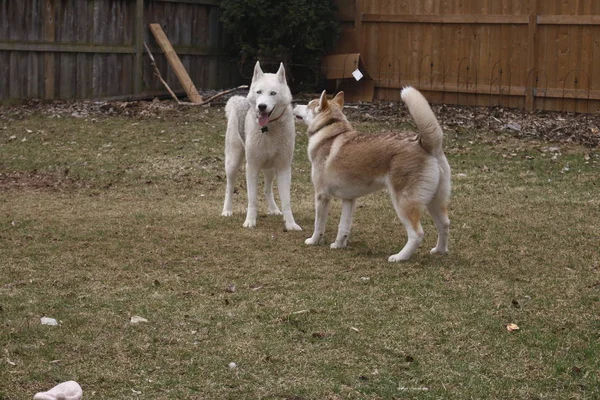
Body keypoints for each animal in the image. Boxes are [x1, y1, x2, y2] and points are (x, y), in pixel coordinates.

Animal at [223, 62, 302, 231]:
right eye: (259, 92)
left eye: (273, 93)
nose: (262, 106)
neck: (269, 128)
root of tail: (239, 100)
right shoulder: (252, 167)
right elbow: (252, 200)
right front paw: (250, 221)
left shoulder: (284, 168)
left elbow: (286, 202)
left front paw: (290, 224)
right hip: (233, 162)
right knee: (229, 187)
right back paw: (227, 210)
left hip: (270, 168)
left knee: (267, 189)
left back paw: (273, 209)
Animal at [292, 87, 452, 260]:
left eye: (308, 105)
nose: (294, 104)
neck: (329, 130)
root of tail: (425, 144)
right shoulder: (349, 199)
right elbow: (343, 227)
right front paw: (338, 245)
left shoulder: (322, 196)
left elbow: (318, 225)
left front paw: (313, 241)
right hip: (434, 202)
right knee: (444, 225)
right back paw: (440, 251)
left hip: (404, 203)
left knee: (417, 234)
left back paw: (399, 257)